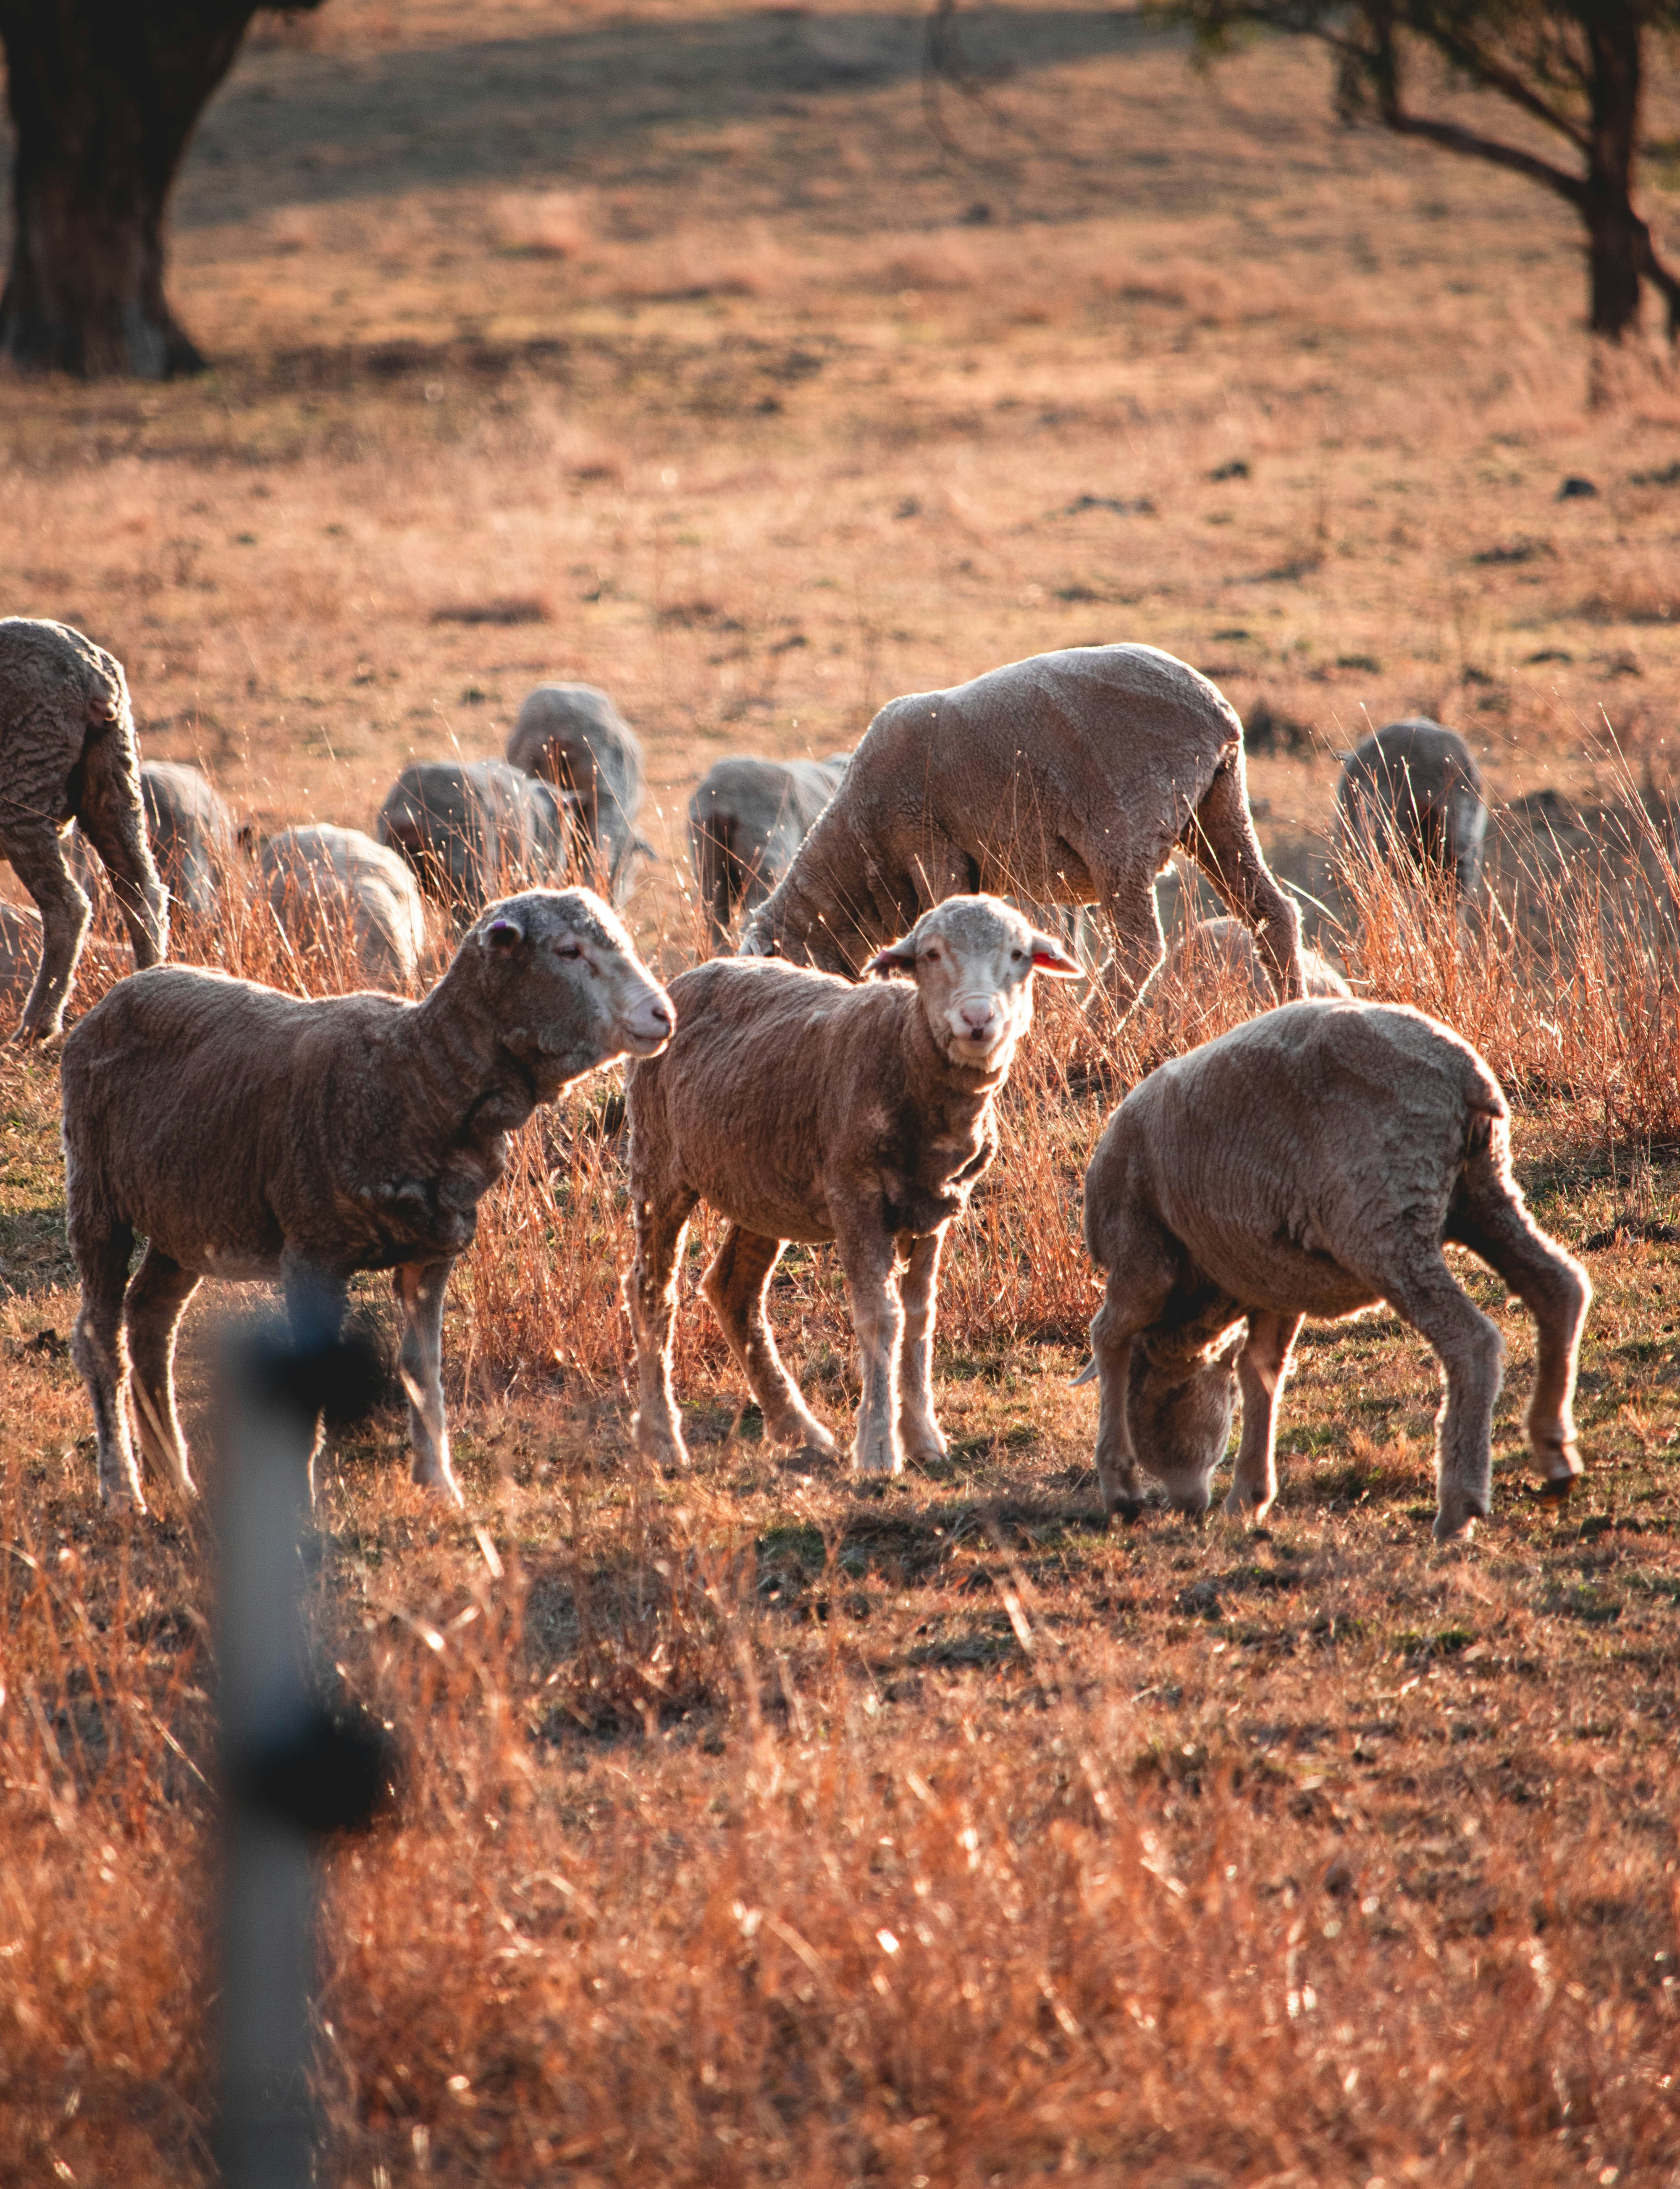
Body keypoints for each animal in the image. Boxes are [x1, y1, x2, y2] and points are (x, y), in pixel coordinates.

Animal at [0, 618, 167, 1039]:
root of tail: (93, 674)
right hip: (114, 776)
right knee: (143, 892)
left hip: (23, 786)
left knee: (68, 907)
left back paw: (37, 1025)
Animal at [62, 887, 673, 1514]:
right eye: (569, 951)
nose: (662, 1015)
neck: (416, 1078)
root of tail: (122, 989)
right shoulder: (312, 1251)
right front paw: (302, 1504)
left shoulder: (432, 1253)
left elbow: (422, 1368)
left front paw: (439, 1484)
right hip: (95, 1192)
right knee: (100, 1337)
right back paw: (122, 1487)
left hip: (185, 1217)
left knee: (150, 1319)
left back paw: (174, 1476)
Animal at [626, 894, 1082, 1478]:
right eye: (931, 954)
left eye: (1020, 955)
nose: (978, 1018)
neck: (905, 1051)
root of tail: (693, 972)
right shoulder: (854, 1195)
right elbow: (880, 1318)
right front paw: (879, 1449)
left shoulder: (938, 1206)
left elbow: (919, 1317)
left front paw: (923, 1437)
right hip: (658, 1161)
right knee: (651, 1291)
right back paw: (662, 1441)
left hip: (764, 1185)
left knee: (732, 1288)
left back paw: (797, 1427)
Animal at [738, 645, 1304, 1019]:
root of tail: (1217, 716)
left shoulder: (929, 843)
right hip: (1218, 806)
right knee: (1270, 910)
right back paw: (1292, 1003)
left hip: (1124, 823)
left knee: (1140, 946)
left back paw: (1089, 1033)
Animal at [1076, 1000, 1590, 1542]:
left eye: (1153, 1401)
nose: (1188, 1506)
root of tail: (1468, 1079)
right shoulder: (1270, 1279)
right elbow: (1260, 1369)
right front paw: (1248, 1496)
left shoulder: (1140, 1257)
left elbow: (1108, 1337)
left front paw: (1121, 1489)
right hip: (1482, 1190)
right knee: (1560, 1285)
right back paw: (1555, 1453)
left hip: (1385, 1220)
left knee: (1472, 1341)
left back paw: (1458, 1506)